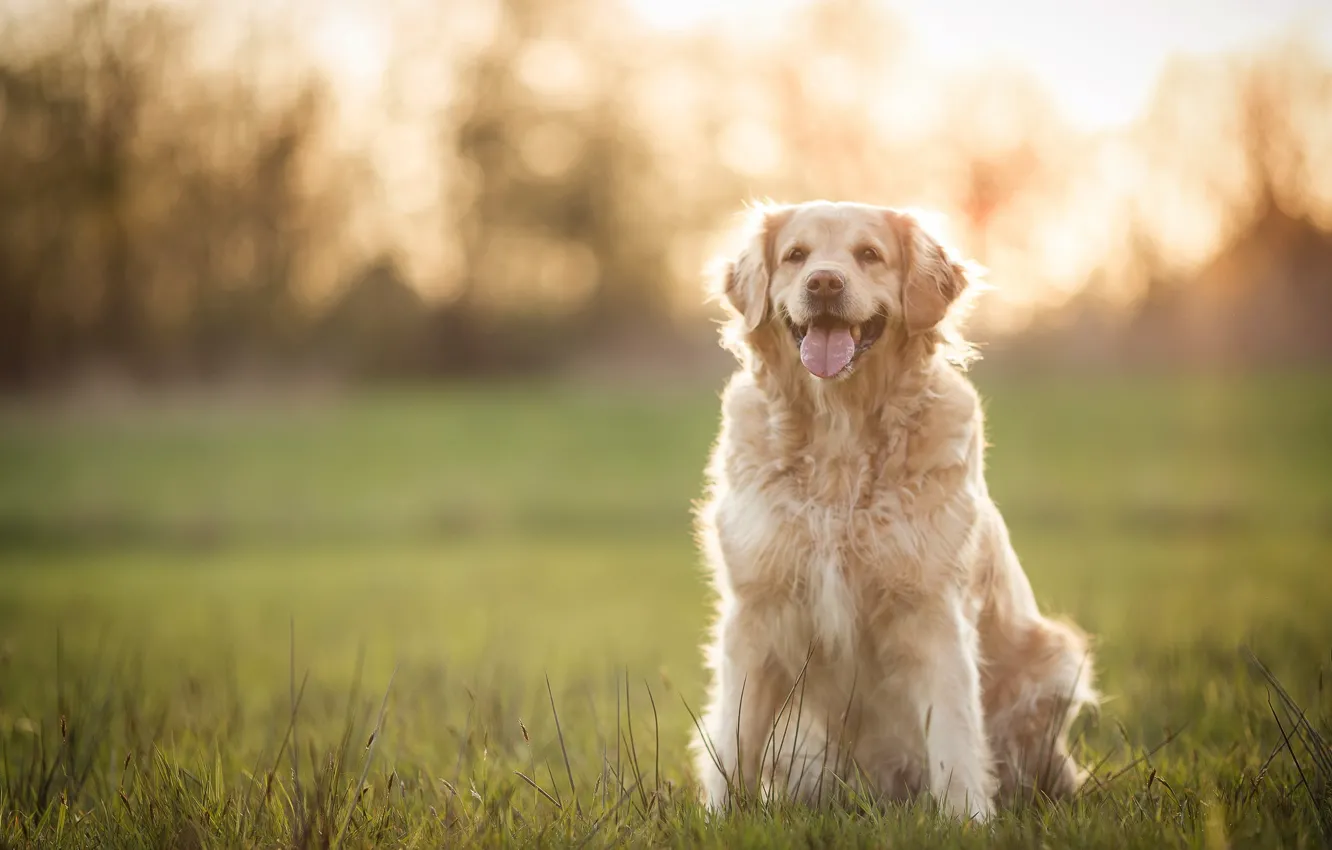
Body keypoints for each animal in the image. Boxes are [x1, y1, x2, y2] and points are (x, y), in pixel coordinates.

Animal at [692, 202, 1097, 820]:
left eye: (869, 255)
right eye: (796, 256)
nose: (824, 283)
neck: (839, 436)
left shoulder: (933, 607)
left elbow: (954, 734)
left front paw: (967, 821)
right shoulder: (757, 609)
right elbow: (733, 740)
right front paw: (720, 821)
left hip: (1054, 661)